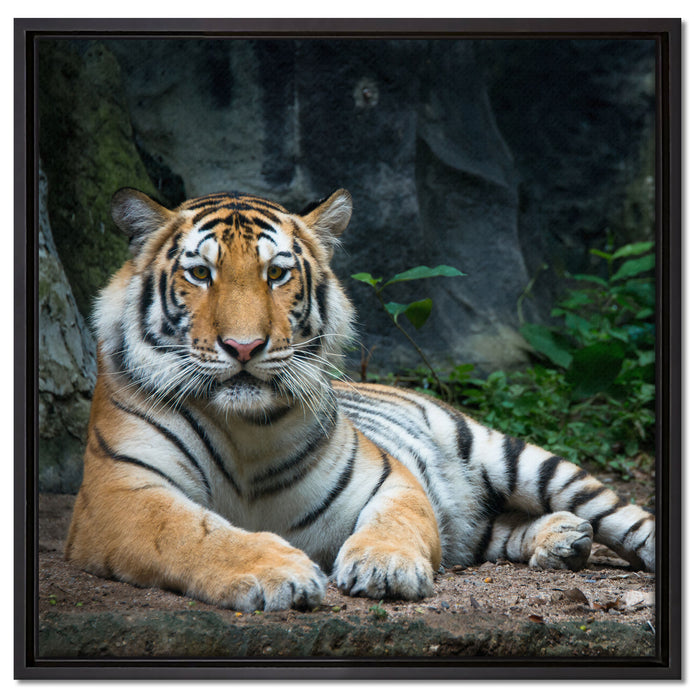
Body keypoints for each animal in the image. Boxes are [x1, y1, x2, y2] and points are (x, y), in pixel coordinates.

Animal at [65, 187, 655, 612]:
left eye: (275, 273)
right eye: (200, 273)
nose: (244, 347)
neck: (245, 428)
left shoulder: (389, 477)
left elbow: (396, 522)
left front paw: (384, 569)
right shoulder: (120, 494)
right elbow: (193, 533)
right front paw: (278, 572)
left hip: (516, 457)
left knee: (622, 516)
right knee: (492, 528)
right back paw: (563, 538)